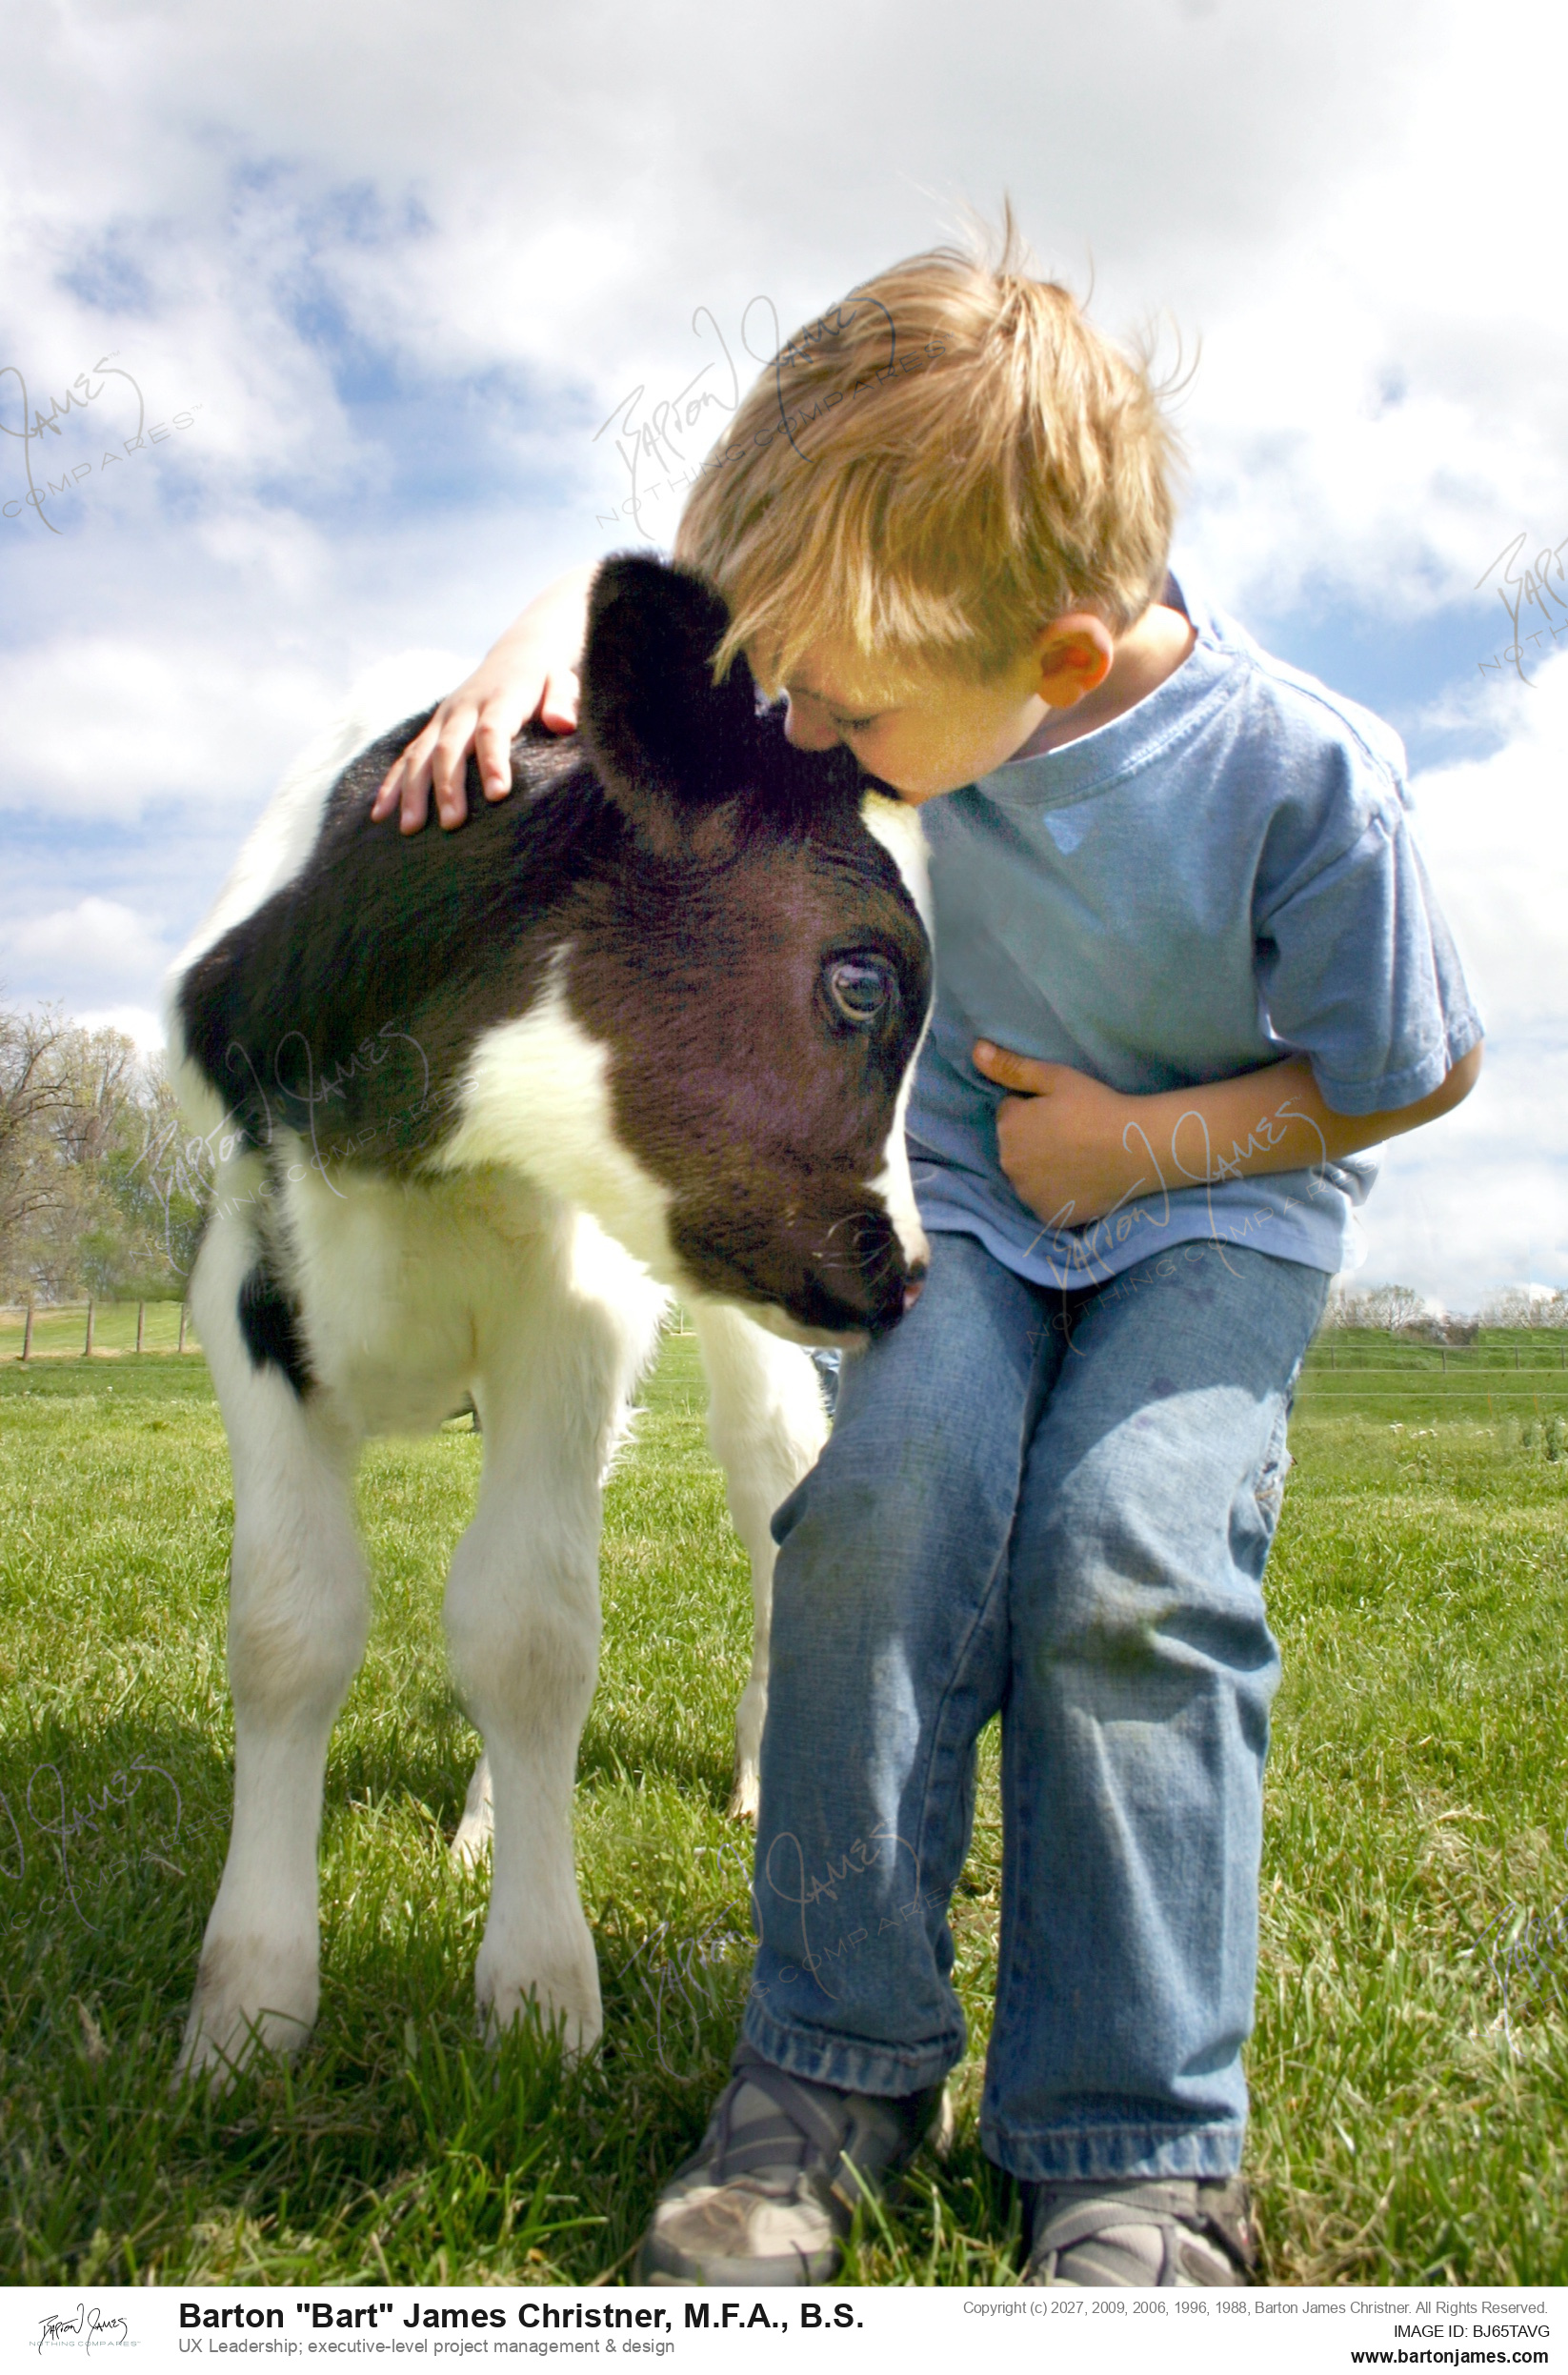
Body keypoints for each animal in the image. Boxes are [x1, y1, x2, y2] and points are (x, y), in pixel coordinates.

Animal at [165, 555, 933, 2079]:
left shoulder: (571, 1316)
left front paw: (534, 1996)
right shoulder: (244, 1288)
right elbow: (288, 1629)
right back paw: (479, 1820)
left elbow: (528, 1635)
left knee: (768, 1496)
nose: (908, 1270)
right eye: (861, 981)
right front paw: (250, 2009)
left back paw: (752, 1772)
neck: (397, 1141)